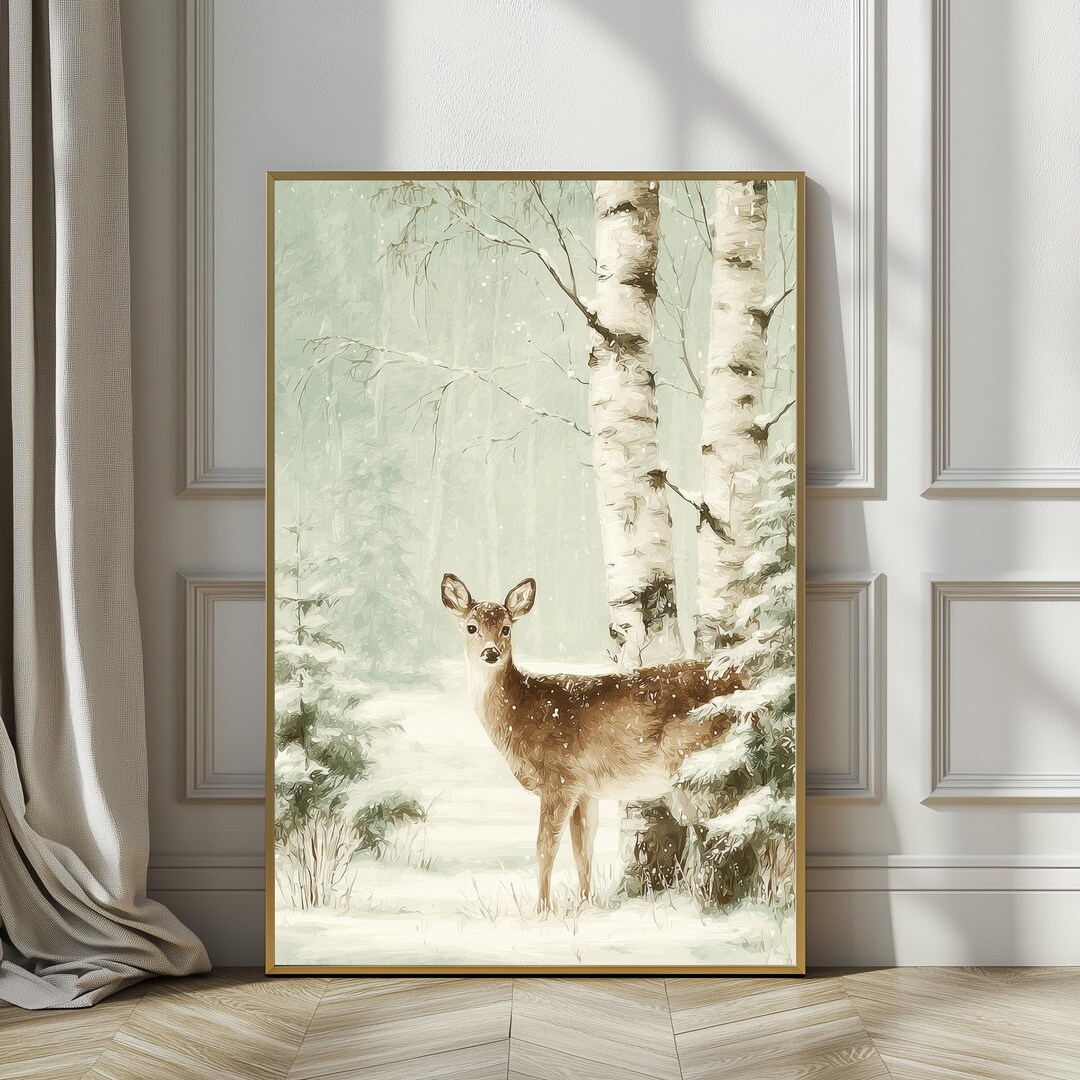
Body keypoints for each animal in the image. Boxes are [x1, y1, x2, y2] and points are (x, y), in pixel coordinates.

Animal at [441, 573, 742, 913]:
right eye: (471, 627)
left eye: (506, 628)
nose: (490, 653)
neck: (521, 712)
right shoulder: (584, 790)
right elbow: (583, 849)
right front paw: (586, 904)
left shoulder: (558, 780)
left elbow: (545, 847)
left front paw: (541, 910)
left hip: (696, 759)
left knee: (723, 828)